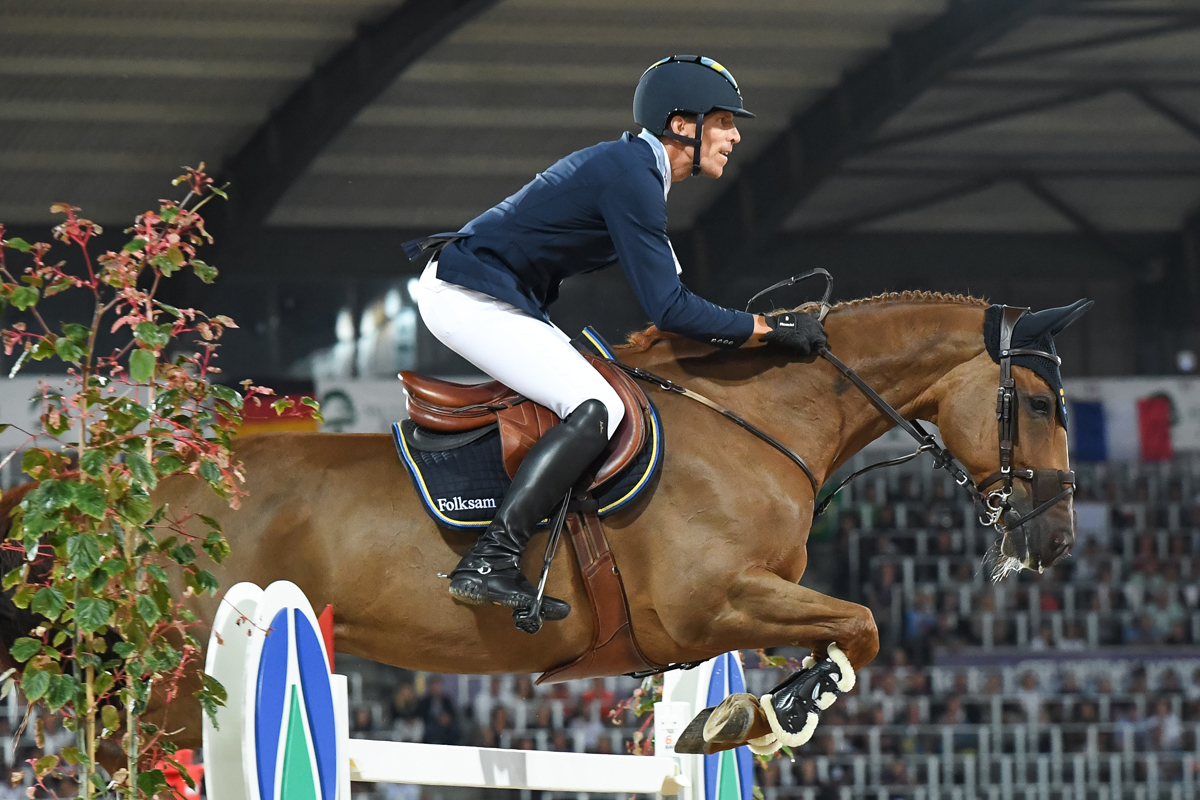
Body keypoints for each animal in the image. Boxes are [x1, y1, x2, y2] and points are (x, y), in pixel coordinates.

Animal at [0, 289, 1084, 758]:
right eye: (1036, 402)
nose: (1058, 537)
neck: (754, 421)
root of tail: (119, 484)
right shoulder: (709, 602)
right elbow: (860, 624)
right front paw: (767, 711)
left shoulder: (737, 606)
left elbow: (841, 629)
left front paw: (740, 711)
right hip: (181, 668)